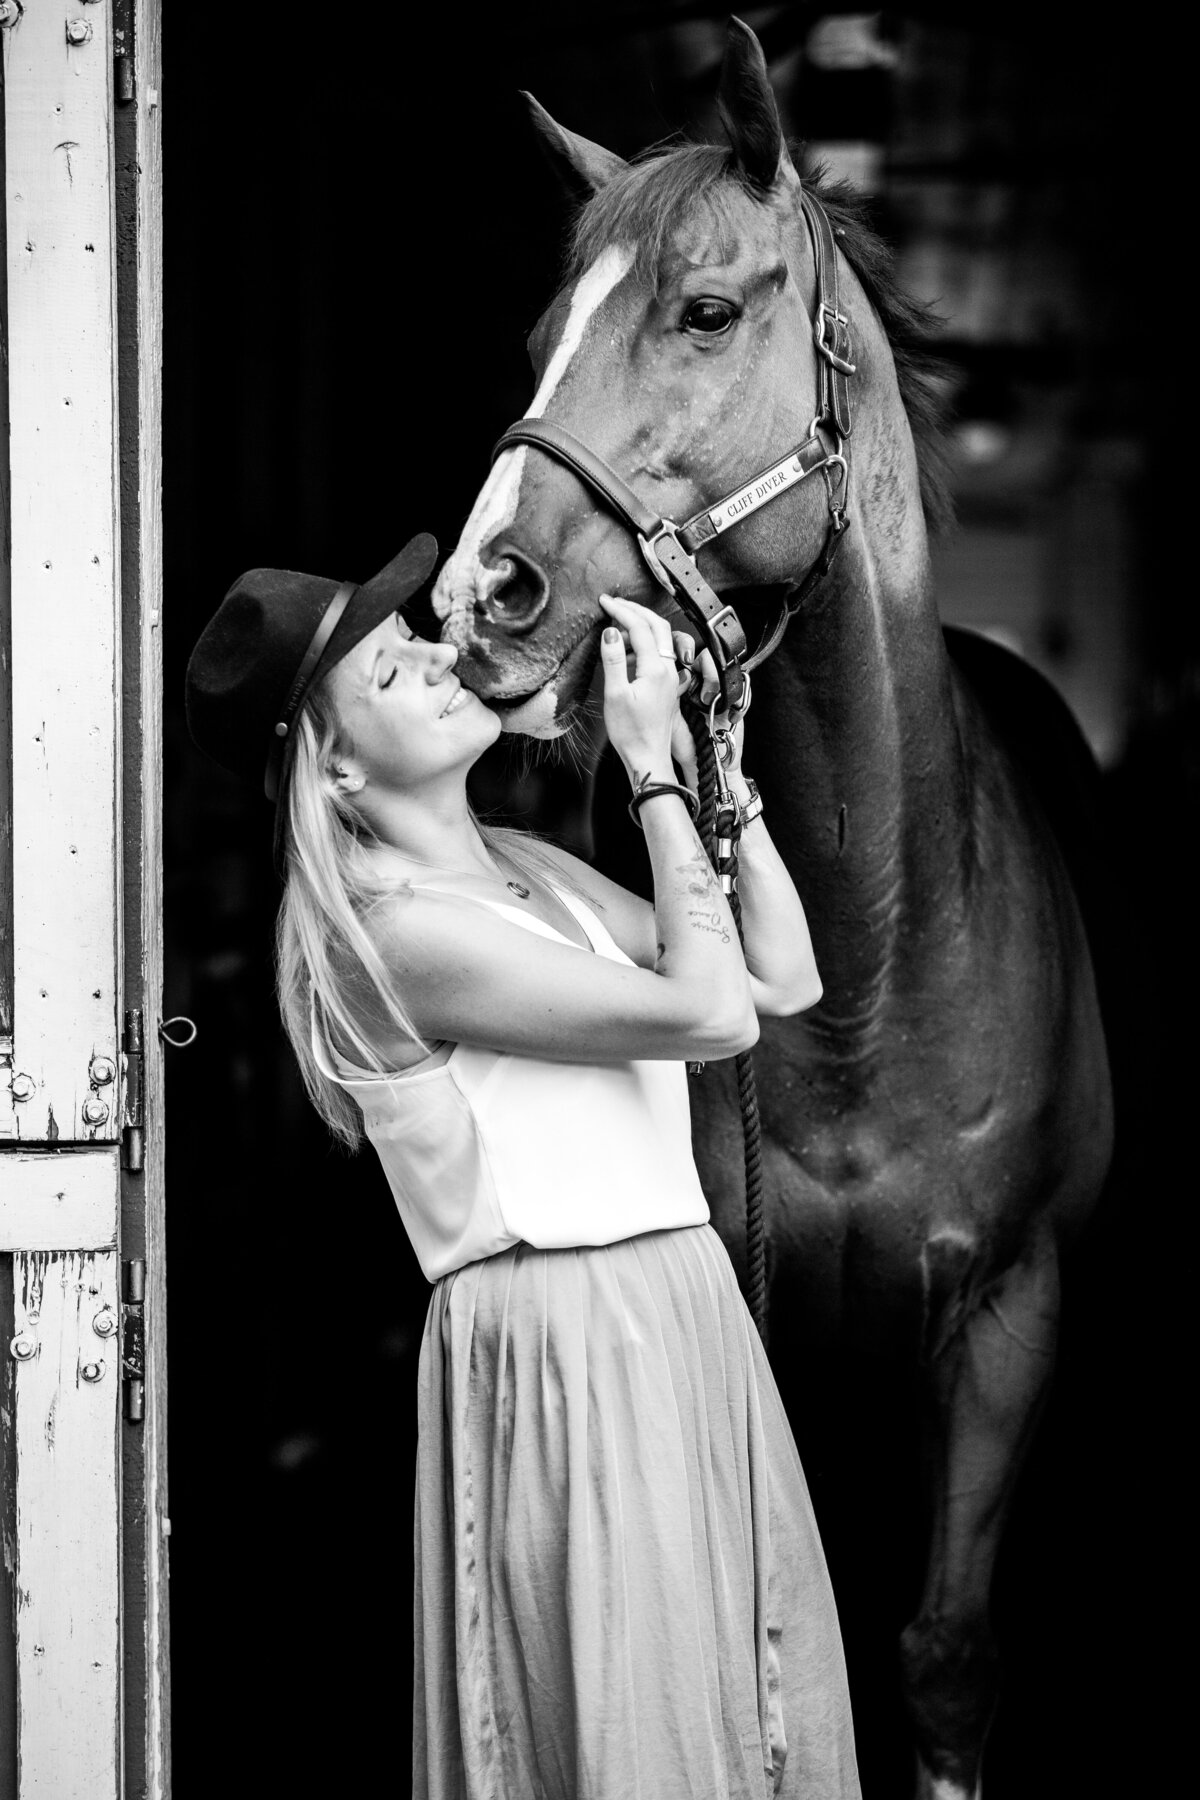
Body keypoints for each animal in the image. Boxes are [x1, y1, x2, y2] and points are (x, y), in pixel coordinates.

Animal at [429, 17, 1108, 1800]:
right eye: (539, 336)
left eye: (707, 311)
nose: (482, 595)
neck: (876, 967)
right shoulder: (741, 1302)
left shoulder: (1007, 1320)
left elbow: (941, 1654)